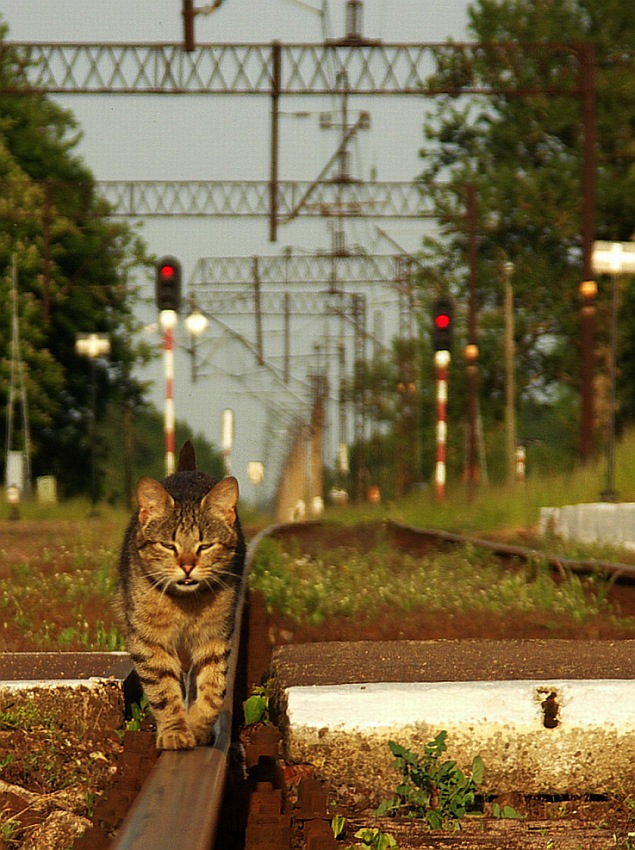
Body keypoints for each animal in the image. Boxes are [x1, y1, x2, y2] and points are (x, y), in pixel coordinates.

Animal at [117, 440, 246, 744]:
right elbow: (163, 688)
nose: (187, 565)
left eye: (205, 546)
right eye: (168, 545)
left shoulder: (216, 637)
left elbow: (214, 687)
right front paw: (176, 731)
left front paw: (199, 726)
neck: (186, 603)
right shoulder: (148, 640)